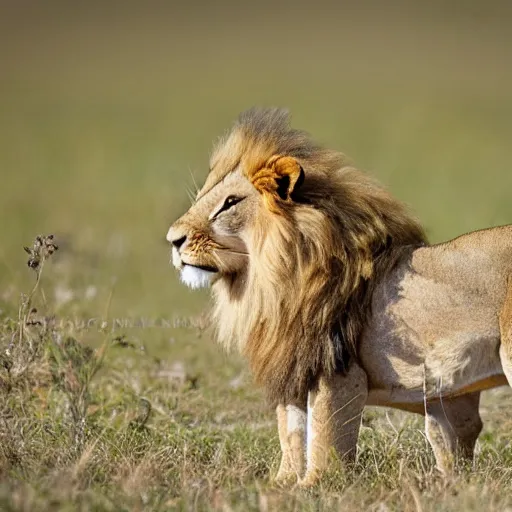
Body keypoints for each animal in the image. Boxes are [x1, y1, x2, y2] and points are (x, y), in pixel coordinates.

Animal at [168, 107, 512, 484]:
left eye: (229, 203)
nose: (173, 239)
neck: (265, 282)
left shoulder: (337, 369)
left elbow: (324, 437)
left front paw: (315, 485)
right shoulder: (294, 369)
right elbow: (291, 433)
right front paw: (281, 484)